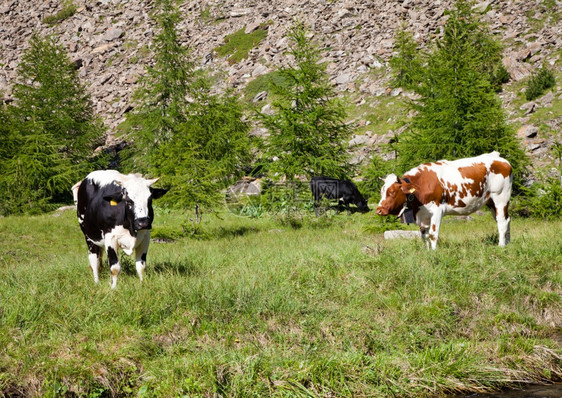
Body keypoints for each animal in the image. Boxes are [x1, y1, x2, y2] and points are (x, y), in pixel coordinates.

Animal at [374, 152, 510, 249]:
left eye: (392, 192)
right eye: (381, 192)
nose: (379, 210)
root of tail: (498, 158)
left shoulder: (437, 210)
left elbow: (433, 234)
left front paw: (434, 252)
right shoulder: (423, 215)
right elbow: (424, 236)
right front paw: (427, 252)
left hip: (501, 197)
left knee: (502, 221)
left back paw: (501, 246)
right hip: (491, 202)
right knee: (505, 219)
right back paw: (507, 243)